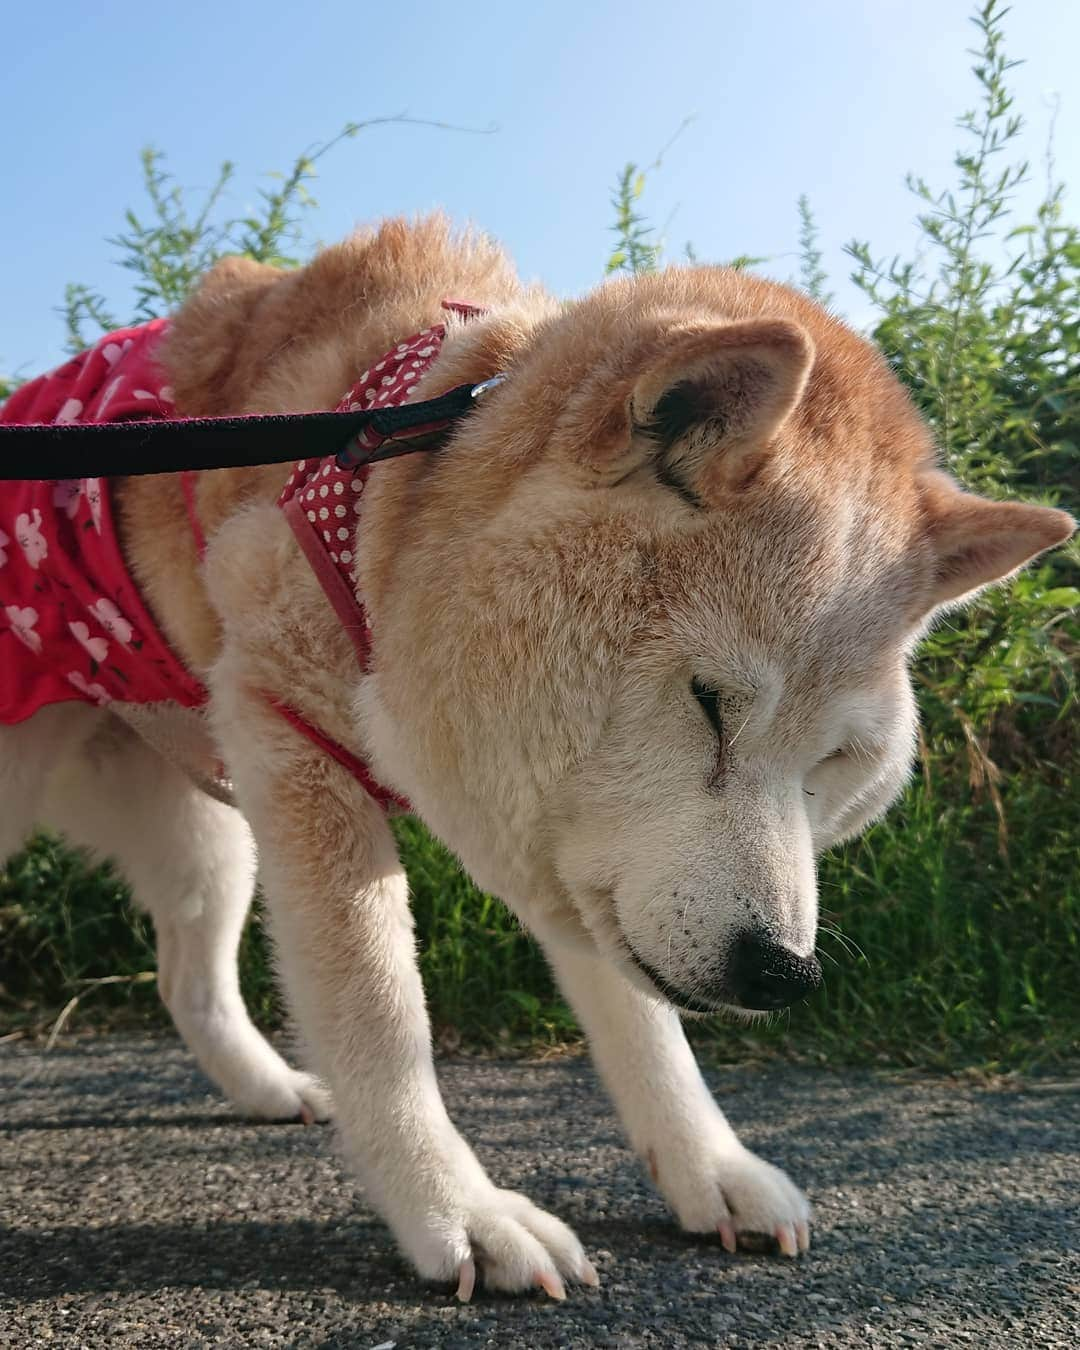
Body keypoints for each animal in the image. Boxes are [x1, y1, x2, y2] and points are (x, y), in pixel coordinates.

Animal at [0, 218, 1069, 1296]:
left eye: (834, 765)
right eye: (711, 704)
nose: (784, 973)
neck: (389, 505)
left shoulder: (587, 861)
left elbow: (646, 1025)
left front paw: (712, 1167)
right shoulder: (289, 725)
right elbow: (380, 1013)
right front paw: (460, 1213)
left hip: (209, 845)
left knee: (189, 980)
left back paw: (266, 1087)